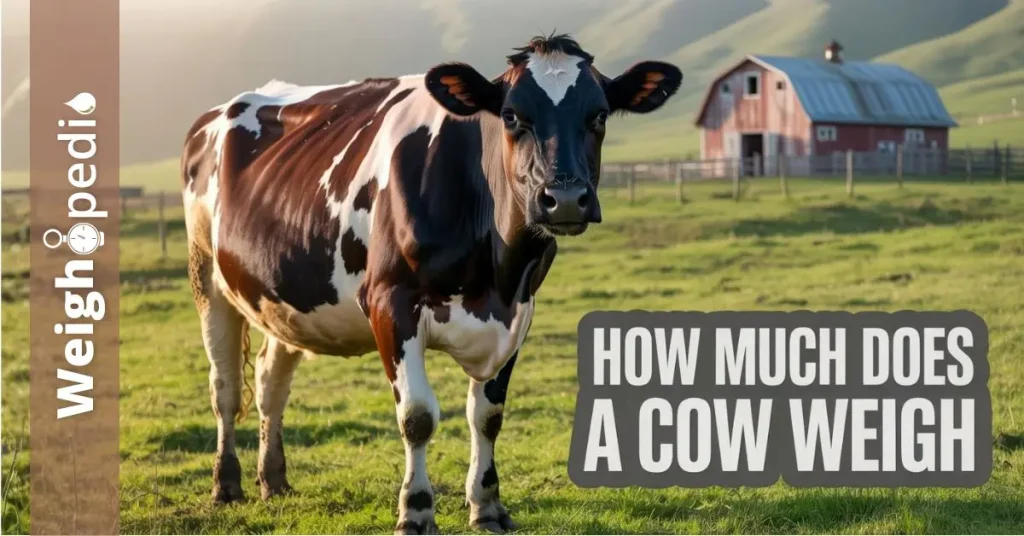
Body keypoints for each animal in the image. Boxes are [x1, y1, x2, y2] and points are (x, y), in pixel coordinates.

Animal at [181, 34, 681, 534]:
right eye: (511, 115)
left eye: (599, 115)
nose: (565, 200)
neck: (493, 273)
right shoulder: (389, 303)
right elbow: (417, 416)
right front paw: (416, 510)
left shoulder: (519, 311)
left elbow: (488, 415)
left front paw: (487, 505)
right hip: (206, 275)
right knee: (224, 387)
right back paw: (226, 485)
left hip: (284, 300)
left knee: (270, 382)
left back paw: (274, 480)